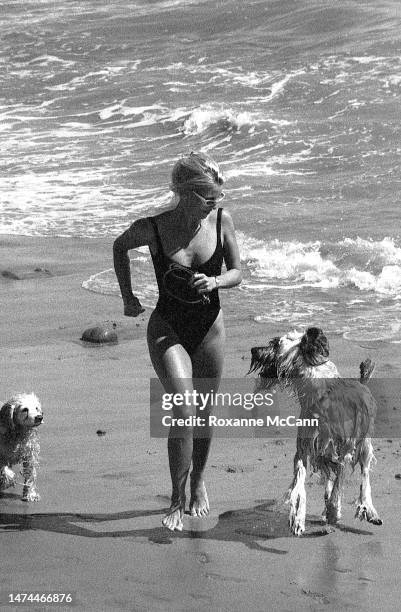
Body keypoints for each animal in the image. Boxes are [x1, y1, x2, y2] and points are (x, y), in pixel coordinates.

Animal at [248, 326, 382, 536]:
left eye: (276, 343)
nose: (253, 350)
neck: (320, 395)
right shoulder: (304, 450)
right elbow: (300, 483)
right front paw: (298, 518)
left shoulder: (343, 452)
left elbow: (338, 486)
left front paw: (334, 512)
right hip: (323, 456)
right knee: (327, 479)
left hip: (364, 445)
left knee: (364, 476)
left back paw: (368, 510)